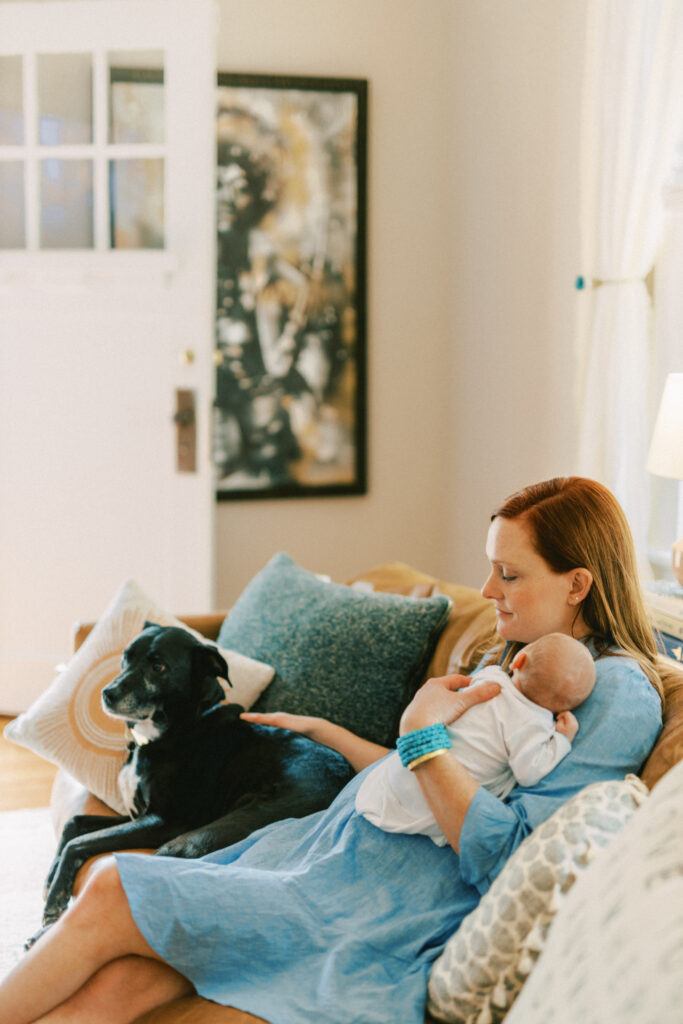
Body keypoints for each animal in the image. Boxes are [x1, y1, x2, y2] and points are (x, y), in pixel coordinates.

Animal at [38, 618, 356, 937]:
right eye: (126, 657)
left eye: (159, 667)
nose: (107, 693)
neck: (178, 728)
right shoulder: (136, 815)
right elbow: (75, 823)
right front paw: (51, 876)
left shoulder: (164, 821)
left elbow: (80, 842)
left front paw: (54, 901)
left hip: (194, 838)